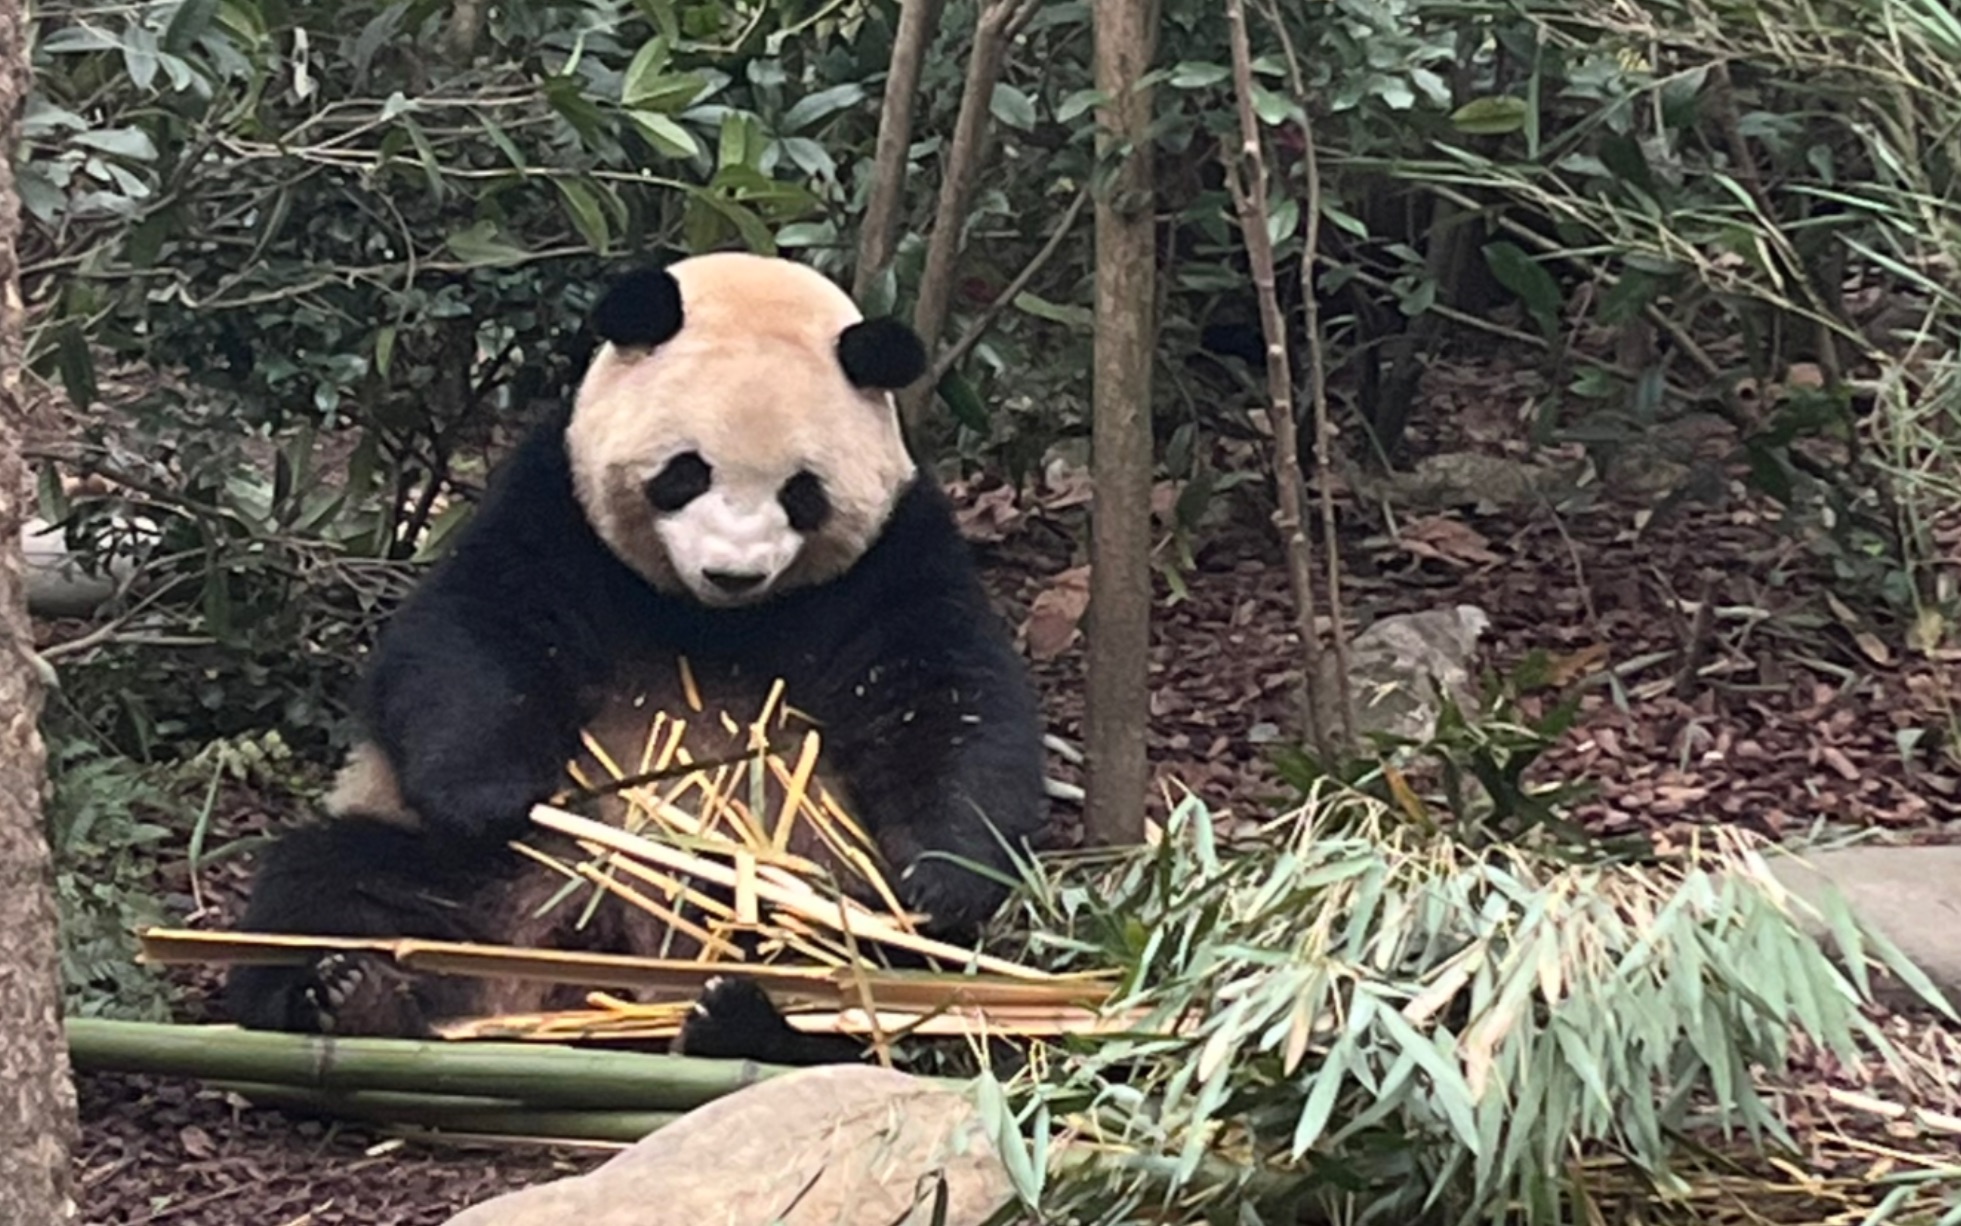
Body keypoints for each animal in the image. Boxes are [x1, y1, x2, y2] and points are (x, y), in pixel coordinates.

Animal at [225, 253, 1058, 1067]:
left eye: (801, 492)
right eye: (686, 472)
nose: (732, 571)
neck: (711, 618)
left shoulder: (893, 550)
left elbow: (946, 693)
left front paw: (942, 880)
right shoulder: (553, 506)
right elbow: (474, 634)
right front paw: (489, 796)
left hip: (807, 887)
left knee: (871, 971)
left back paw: (748, 1023)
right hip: (473, 871)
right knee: (330, 884)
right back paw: (350, 996)